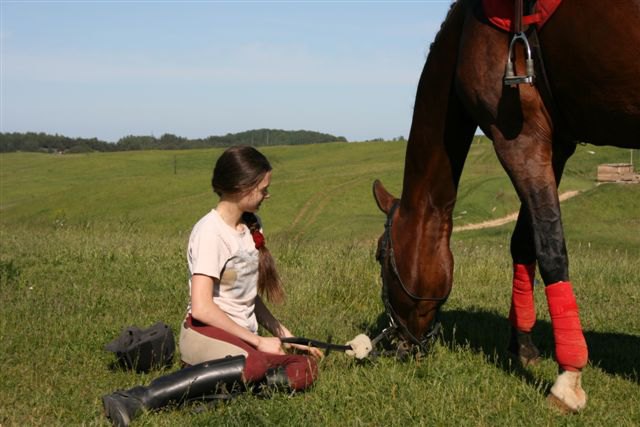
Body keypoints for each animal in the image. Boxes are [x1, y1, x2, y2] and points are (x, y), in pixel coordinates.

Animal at [372, 0, 636, 414]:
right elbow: (525, 244)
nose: (396, 341)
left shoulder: (519, 139)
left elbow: (550, 250)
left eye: (380, 256)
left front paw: (568, 377)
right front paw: (523, 342)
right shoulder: (555, 146)